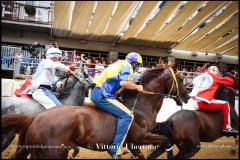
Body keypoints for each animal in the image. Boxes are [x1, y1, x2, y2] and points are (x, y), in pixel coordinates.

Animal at [1, 66, 189, 159]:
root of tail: (34, 117)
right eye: (180, 79)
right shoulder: (139, 138)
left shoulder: (132, 144)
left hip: (29, 150)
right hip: (52, 153)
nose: (187, 96)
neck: (140, 106)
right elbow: (166, 140)